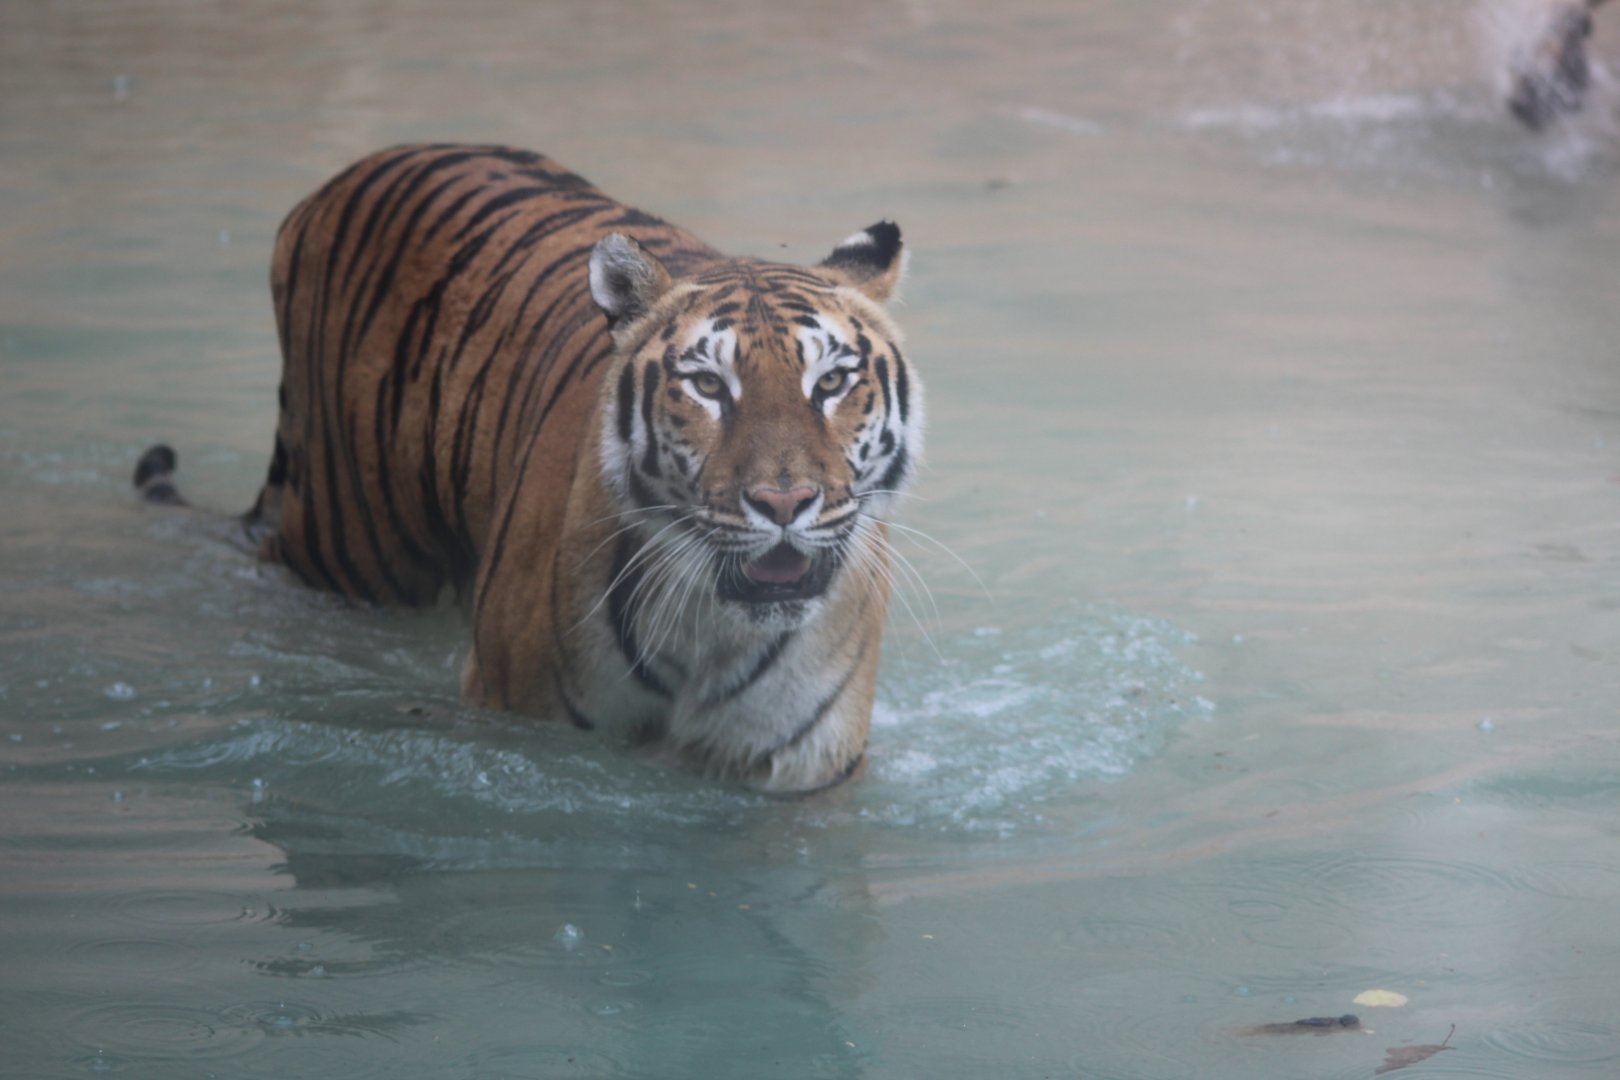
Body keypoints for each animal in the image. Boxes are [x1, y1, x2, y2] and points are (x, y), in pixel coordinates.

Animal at [140, 144, 924, 794]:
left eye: (831, 382)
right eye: (707, 385)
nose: (784, 502)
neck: (711, 631)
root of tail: (338, 182)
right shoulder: (519, 723)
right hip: (353, 548)